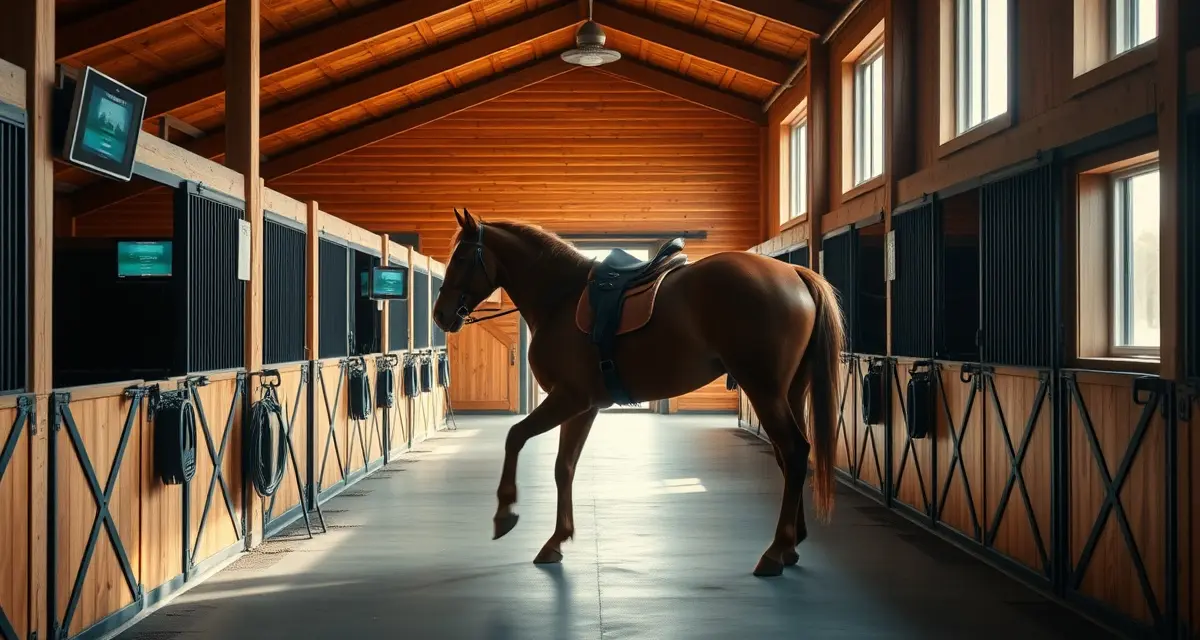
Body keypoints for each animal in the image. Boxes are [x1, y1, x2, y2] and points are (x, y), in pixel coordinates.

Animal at [431, 208, 845, 577]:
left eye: (463, 257)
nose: (440, 315)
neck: (560, 299)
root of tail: (793, 273)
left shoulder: (568, 398)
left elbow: (515, 437)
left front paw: (505, 513)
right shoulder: (583, 407)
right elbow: (564, 467)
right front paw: (557, 540)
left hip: (764, 390)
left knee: (795, 451)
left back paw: (776, 550)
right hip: (789, 392)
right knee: (790, 455)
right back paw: (791, 544)